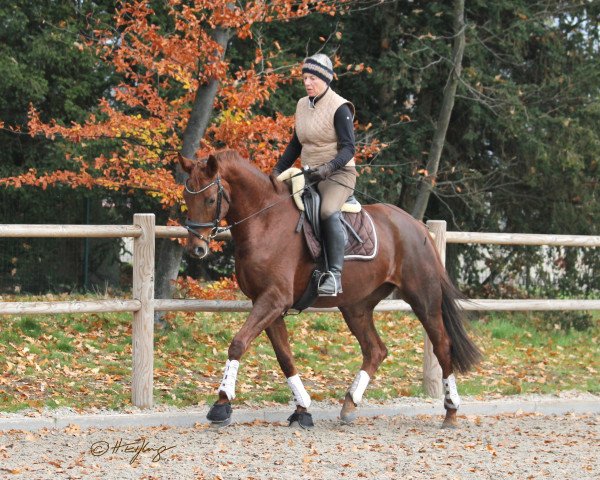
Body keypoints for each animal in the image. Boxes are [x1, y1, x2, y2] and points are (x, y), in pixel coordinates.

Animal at [179, 149, 482, 428]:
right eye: (186, 198)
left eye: (209, 199)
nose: (196, 249)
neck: (265, 221)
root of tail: (418, 227)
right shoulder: (267, 304)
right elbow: (285, 357)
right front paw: (302, 409)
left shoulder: (274, 299)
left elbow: (238, 343)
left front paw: (221, 404)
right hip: (356, 306)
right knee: (375, 350)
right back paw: (349, 404)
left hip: (423, 298)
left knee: (442, 346)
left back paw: (451, 411)